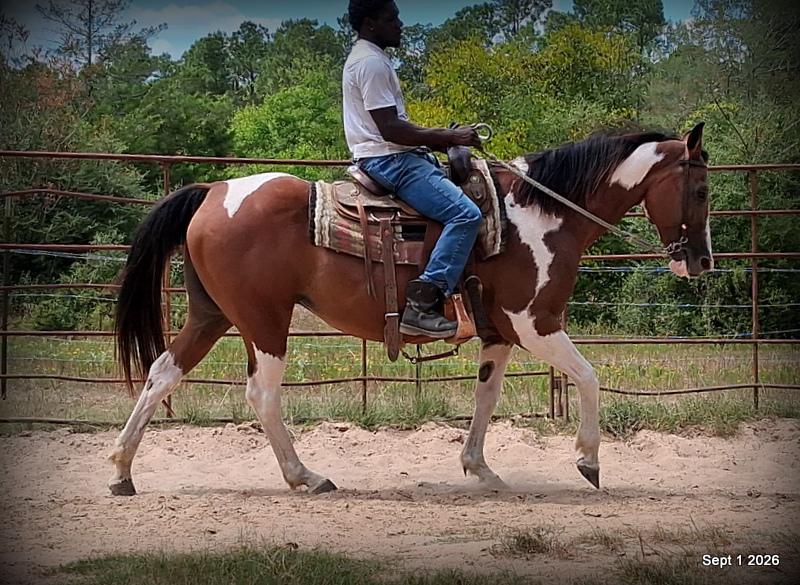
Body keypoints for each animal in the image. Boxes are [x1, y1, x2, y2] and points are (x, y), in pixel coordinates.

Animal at [109, 123, 712, 496]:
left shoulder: (500, 333)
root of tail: (213, 191)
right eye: (702, 190)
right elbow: (588, 375)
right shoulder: (535, 323)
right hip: (264, 322)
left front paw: (480, 470)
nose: (701, 262)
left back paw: (121, 471)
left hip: (212, 315)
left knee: (162, 372)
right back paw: (306, 476)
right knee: (261, 395)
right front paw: (588, 461)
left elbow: (486, 396)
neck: (540, 213)